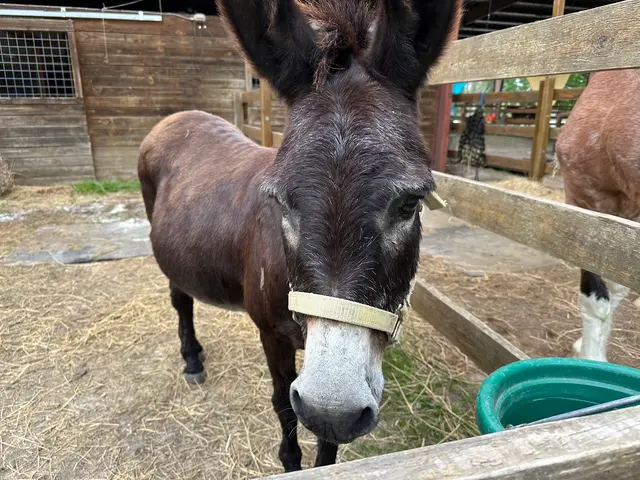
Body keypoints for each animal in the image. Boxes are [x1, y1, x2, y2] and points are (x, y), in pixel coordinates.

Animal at [138, 0, 462, 471]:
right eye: (282, 203)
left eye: (410, 205)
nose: (333, 406)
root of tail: (180, 115)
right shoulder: (271, 335)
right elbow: (283, 405)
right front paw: (291, 461)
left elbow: (325, 436)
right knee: (181, 300)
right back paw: (192, 359)